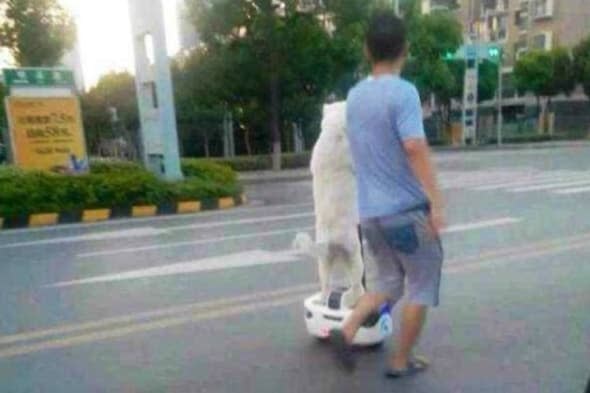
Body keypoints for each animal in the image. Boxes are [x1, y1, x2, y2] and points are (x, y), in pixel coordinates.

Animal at [292, 100, 366, 306]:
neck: (334, 132)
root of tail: (330, 242)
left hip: (324, 263)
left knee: (326, 286)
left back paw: (321, 300)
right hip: (355, 256)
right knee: (356, 284)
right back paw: (354, 296)